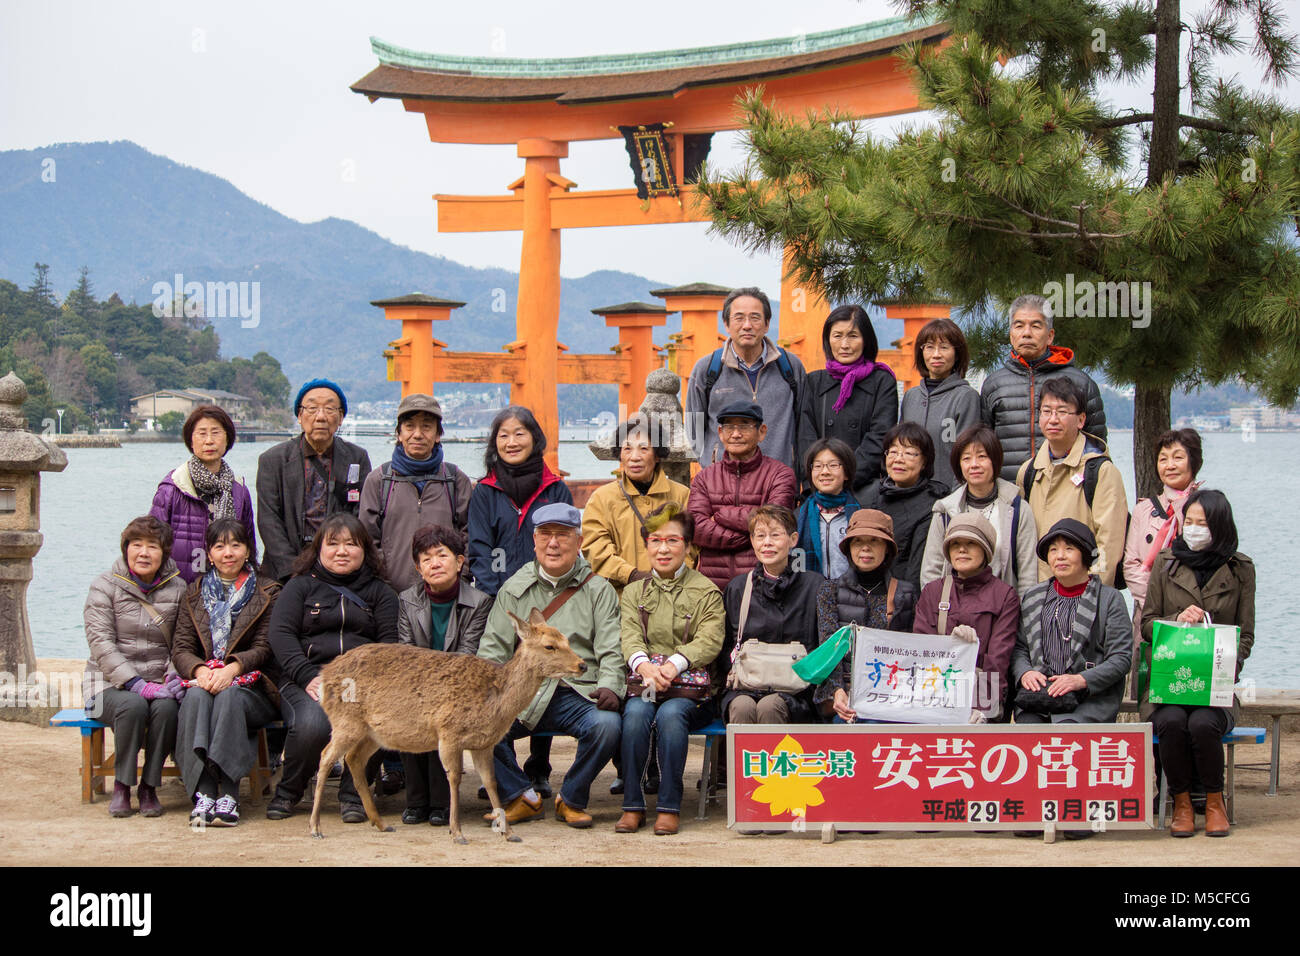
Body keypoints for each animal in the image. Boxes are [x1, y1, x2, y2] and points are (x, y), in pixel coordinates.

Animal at [309, 606, 585, 842]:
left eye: (567, 639)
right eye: (550, 646)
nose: (581, 664)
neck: (493, 703)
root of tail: (324, 675)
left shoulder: (484, 744)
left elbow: (491, 782)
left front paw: (509, 833)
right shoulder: (448, 732)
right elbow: (454, 779)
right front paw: (457, 832)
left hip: (374, 733)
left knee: (353, 758)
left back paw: (381, 823)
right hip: (346, 721)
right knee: (325, 757)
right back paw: (315, 827)